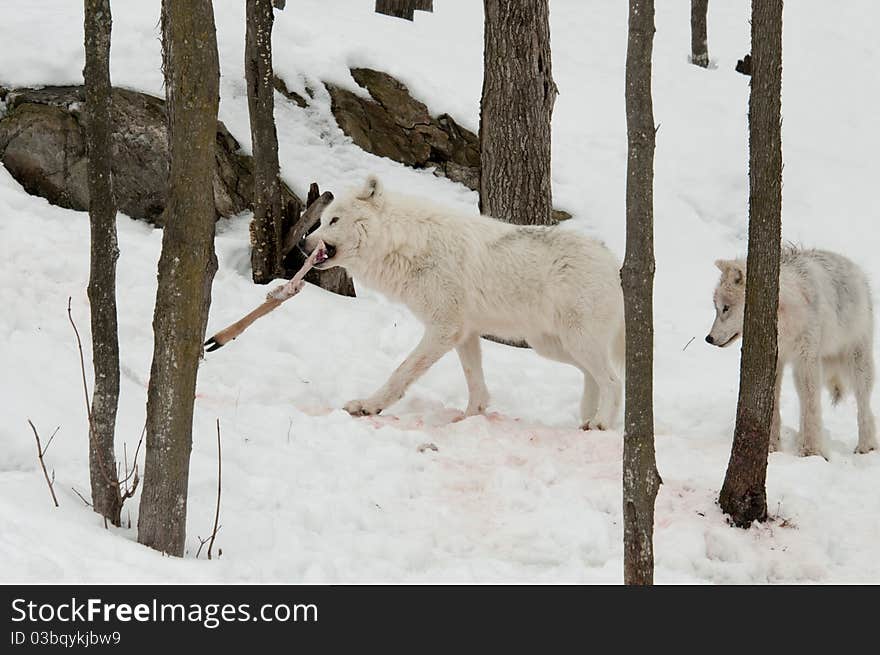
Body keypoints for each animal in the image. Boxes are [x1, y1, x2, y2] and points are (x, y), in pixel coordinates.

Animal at [302, 176, 624, 430]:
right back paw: (587, 419)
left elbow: (401, 371)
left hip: (575, 341)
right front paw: (471, 418)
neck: (408, 244)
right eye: (322, 220)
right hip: (551, 346)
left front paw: (368, 406)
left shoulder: (444, 328)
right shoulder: (465, 333)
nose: (303, 244)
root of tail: (610, 259)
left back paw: (600, 423)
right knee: (592, 375)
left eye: (334, 220)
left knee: (612, 380)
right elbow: (475, 384)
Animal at [704, 246, 876, 456]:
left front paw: (811, 451)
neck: (786, 316)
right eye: (716, 308)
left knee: (863, 406)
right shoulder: (776, 359)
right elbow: (775, 406)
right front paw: (771, 447)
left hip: (857, 362)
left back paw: (866, 446)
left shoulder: (807, 358)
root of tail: (857, 269)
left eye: (725, 308)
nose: (709, 338)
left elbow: (811, 406)